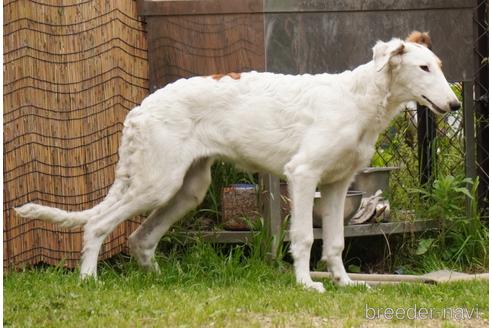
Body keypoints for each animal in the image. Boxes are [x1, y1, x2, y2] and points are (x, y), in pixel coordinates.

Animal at [15, 31, 462, 292]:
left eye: (440, 66)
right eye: (423, 67)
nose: (455, 104)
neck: (358, 99)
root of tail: (140, 107)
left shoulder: (337, 184)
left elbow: (335, 242)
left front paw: (345, 283)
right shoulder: (303, 175)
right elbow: (304, 237)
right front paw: (307, 285)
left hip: (187, 189)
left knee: (140, 238)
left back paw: (162, 281)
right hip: (156, 182)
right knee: (97, 223)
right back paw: (88, 279)